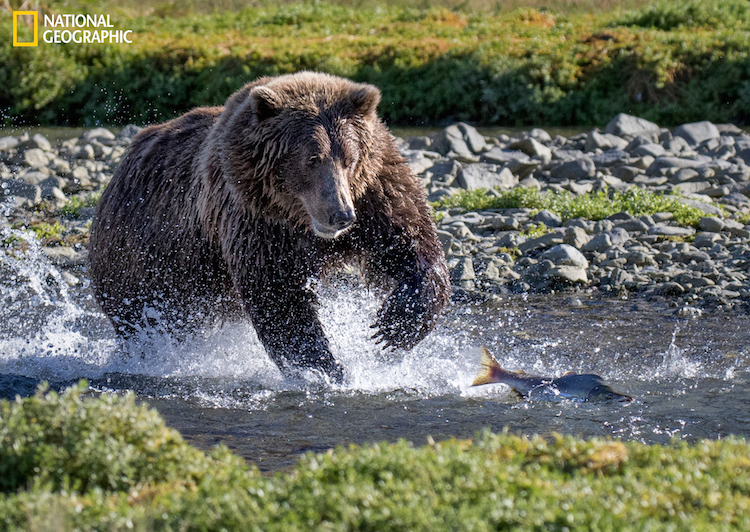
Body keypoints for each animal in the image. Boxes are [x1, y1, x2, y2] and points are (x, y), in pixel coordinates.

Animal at [88, 71, 450, 382]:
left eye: (350, 157)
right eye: (312, 159)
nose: (341, 215)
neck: (300, 219)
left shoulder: (376, 190)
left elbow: (410, 243)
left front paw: (393, 326)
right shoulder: (256, 220)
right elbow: (277, 295)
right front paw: (327, 369)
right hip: (144, 260)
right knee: (146, 318)